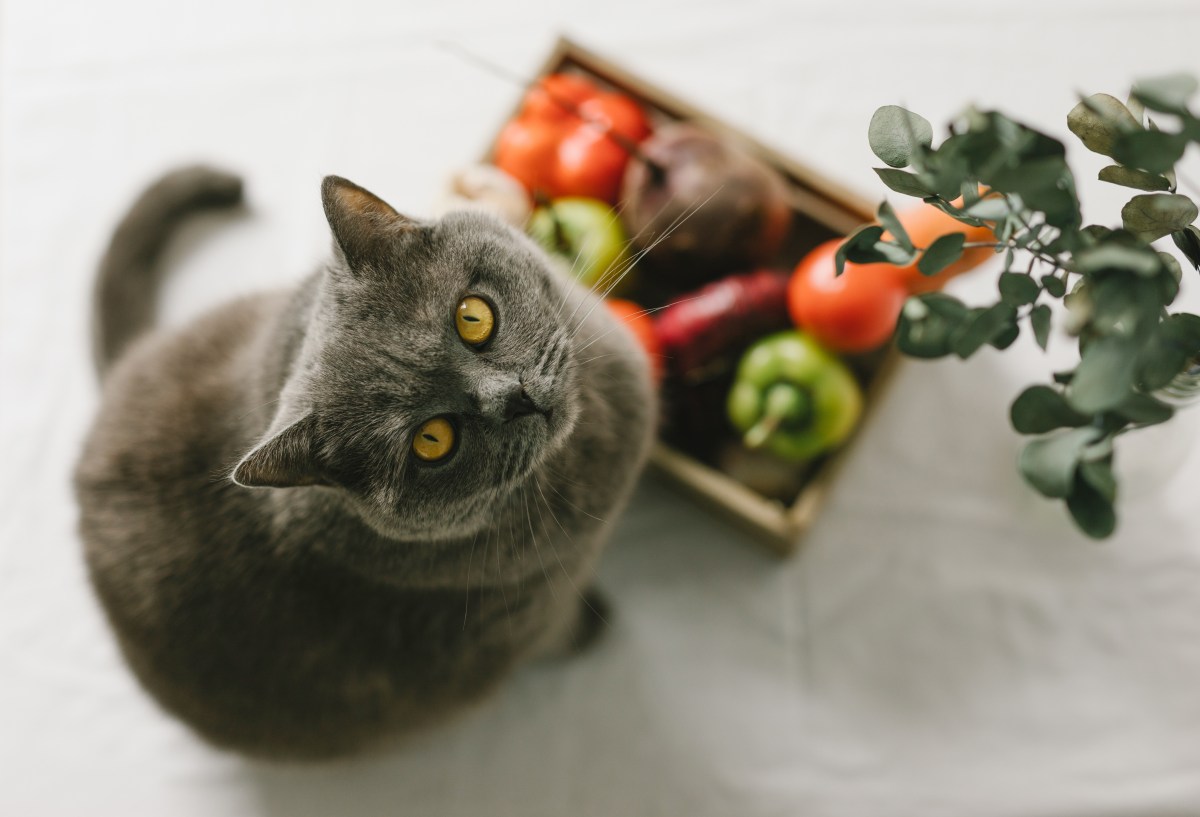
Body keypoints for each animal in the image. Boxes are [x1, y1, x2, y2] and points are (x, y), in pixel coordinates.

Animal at [72, 165, 657, 758]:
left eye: (473, 318)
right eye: (432, 441)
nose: (517, 399)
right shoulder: (536, 611)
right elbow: (562, 628)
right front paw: (595, 624)